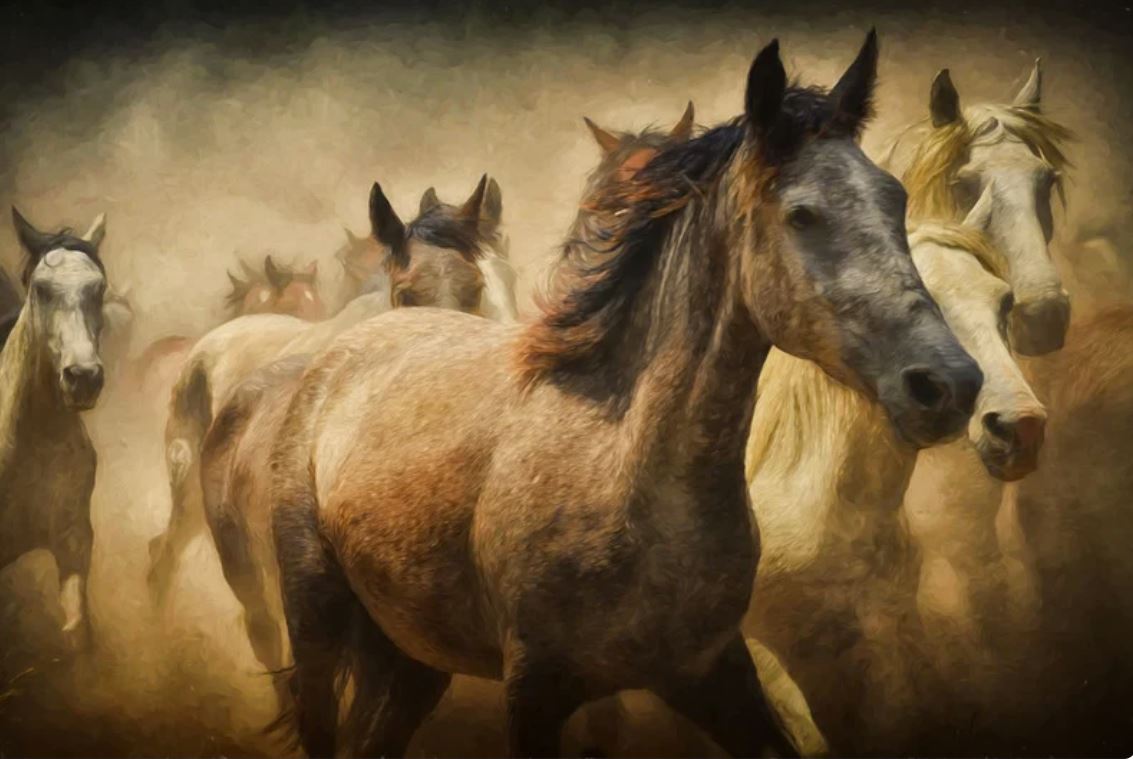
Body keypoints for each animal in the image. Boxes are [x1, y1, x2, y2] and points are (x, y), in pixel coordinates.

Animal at [266, 32, 982, 758]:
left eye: (894, 198)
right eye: (802, 214)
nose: (948, 383)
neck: (624, 469)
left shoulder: (710, 672)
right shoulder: (535, 691)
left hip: (415, 654)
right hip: (317, 618)